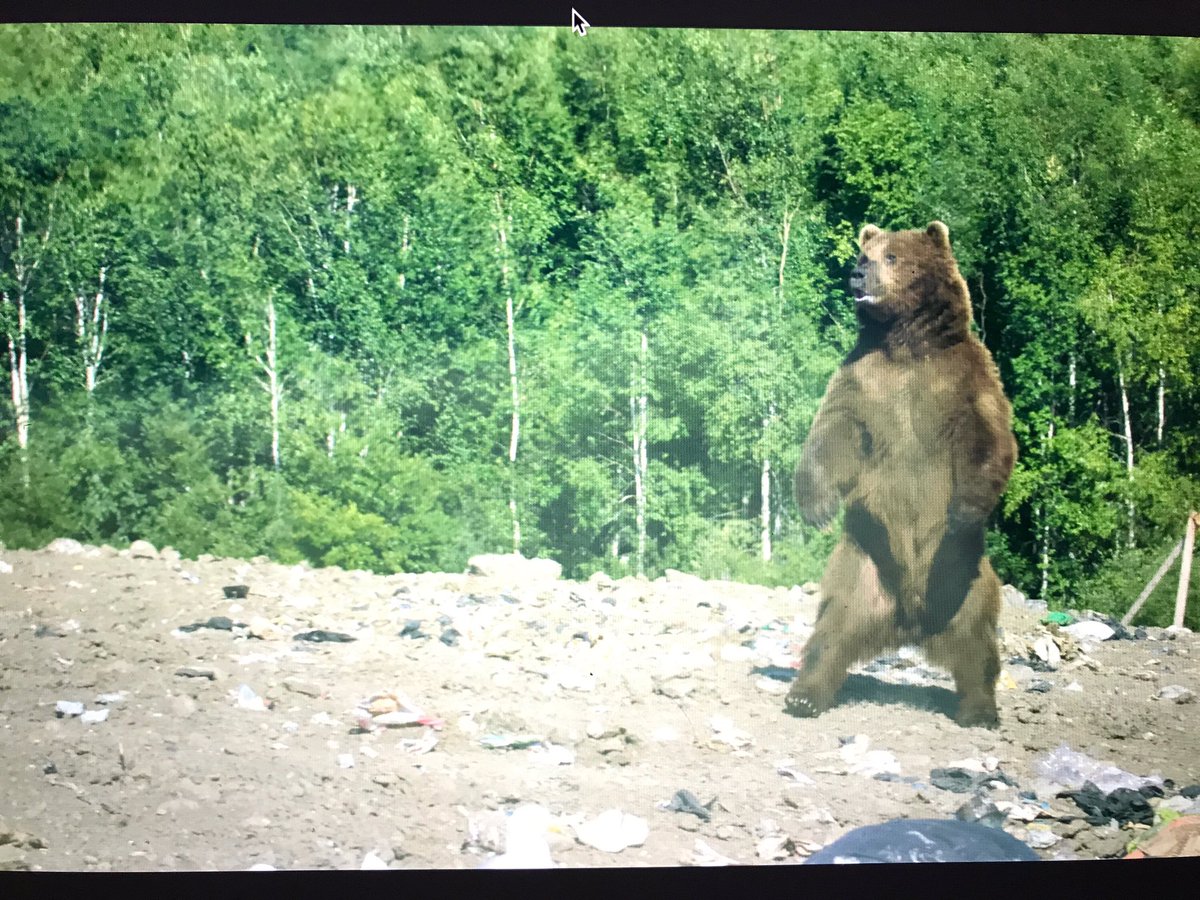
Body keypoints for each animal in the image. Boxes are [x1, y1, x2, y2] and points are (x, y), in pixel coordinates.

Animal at [786, 221, 1017, 728]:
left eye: (891, 256)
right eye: (865, 254)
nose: (857, 274)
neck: (906, 345)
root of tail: (909, 623)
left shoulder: (965, 377)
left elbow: (987, 437)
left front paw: (964, 509)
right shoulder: (862, 378)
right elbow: (834, 430)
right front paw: (817, 506)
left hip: (961, 574)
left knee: (976, 638)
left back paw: (979, 708)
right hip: (861, 569)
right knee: (832, 628)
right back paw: (804, 696)